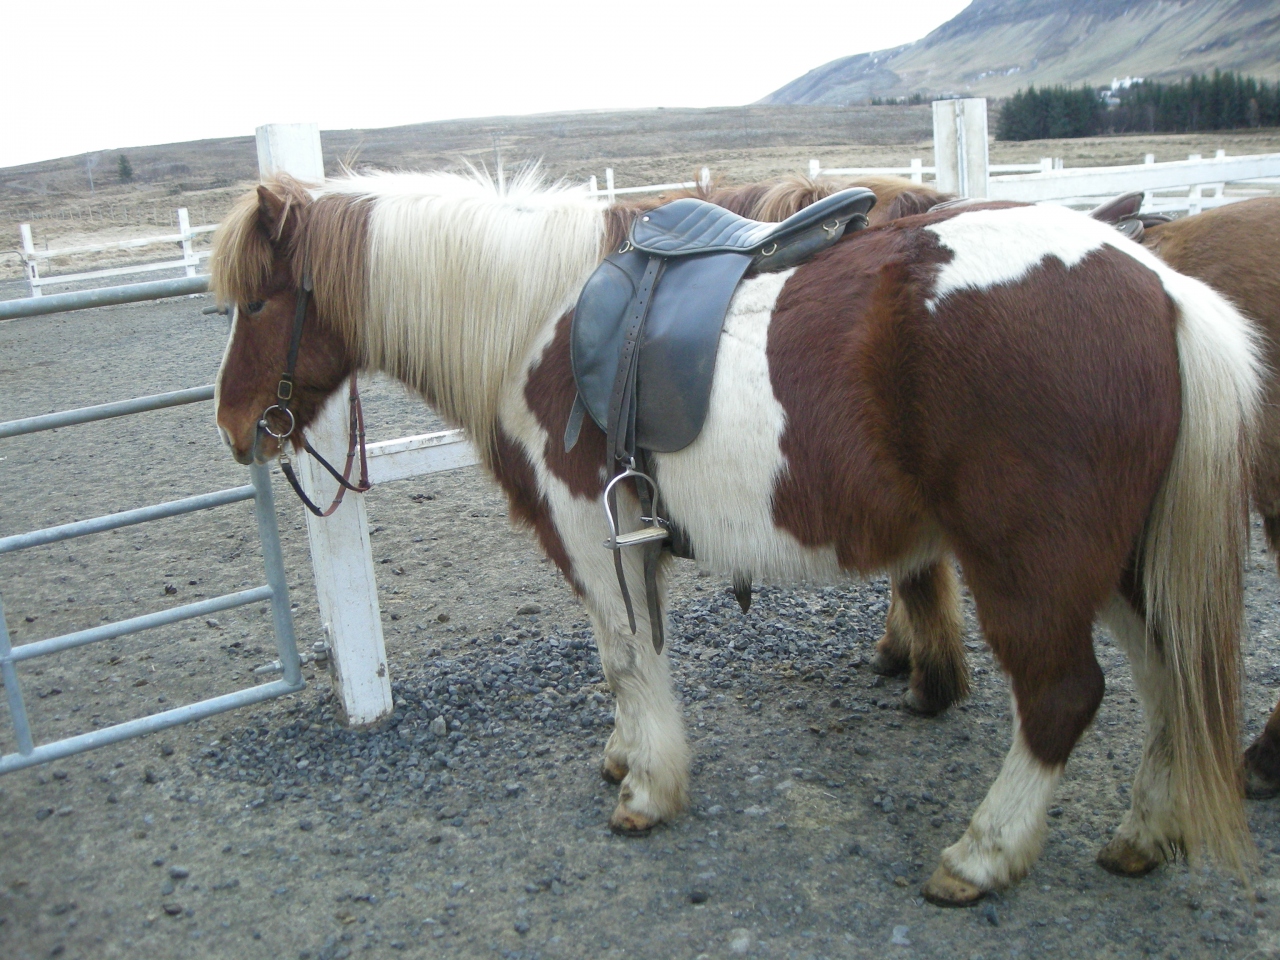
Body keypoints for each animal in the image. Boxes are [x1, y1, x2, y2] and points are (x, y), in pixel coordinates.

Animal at [209, 172, 1259, 911]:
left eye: (257, 303)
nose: (234, 429)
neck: (534, 319)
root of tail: (1163, 288)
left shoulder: (593, 535)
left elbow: (628, 658)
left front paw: (647, 789)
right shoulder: (629, 539)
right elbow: (626, 658)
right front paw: (627, 754)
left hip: (1029, 567)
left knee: (1062, 697)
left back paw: (982, 855)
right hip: (1121, 566)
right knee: (1168, 683)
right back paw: (1144, 833)